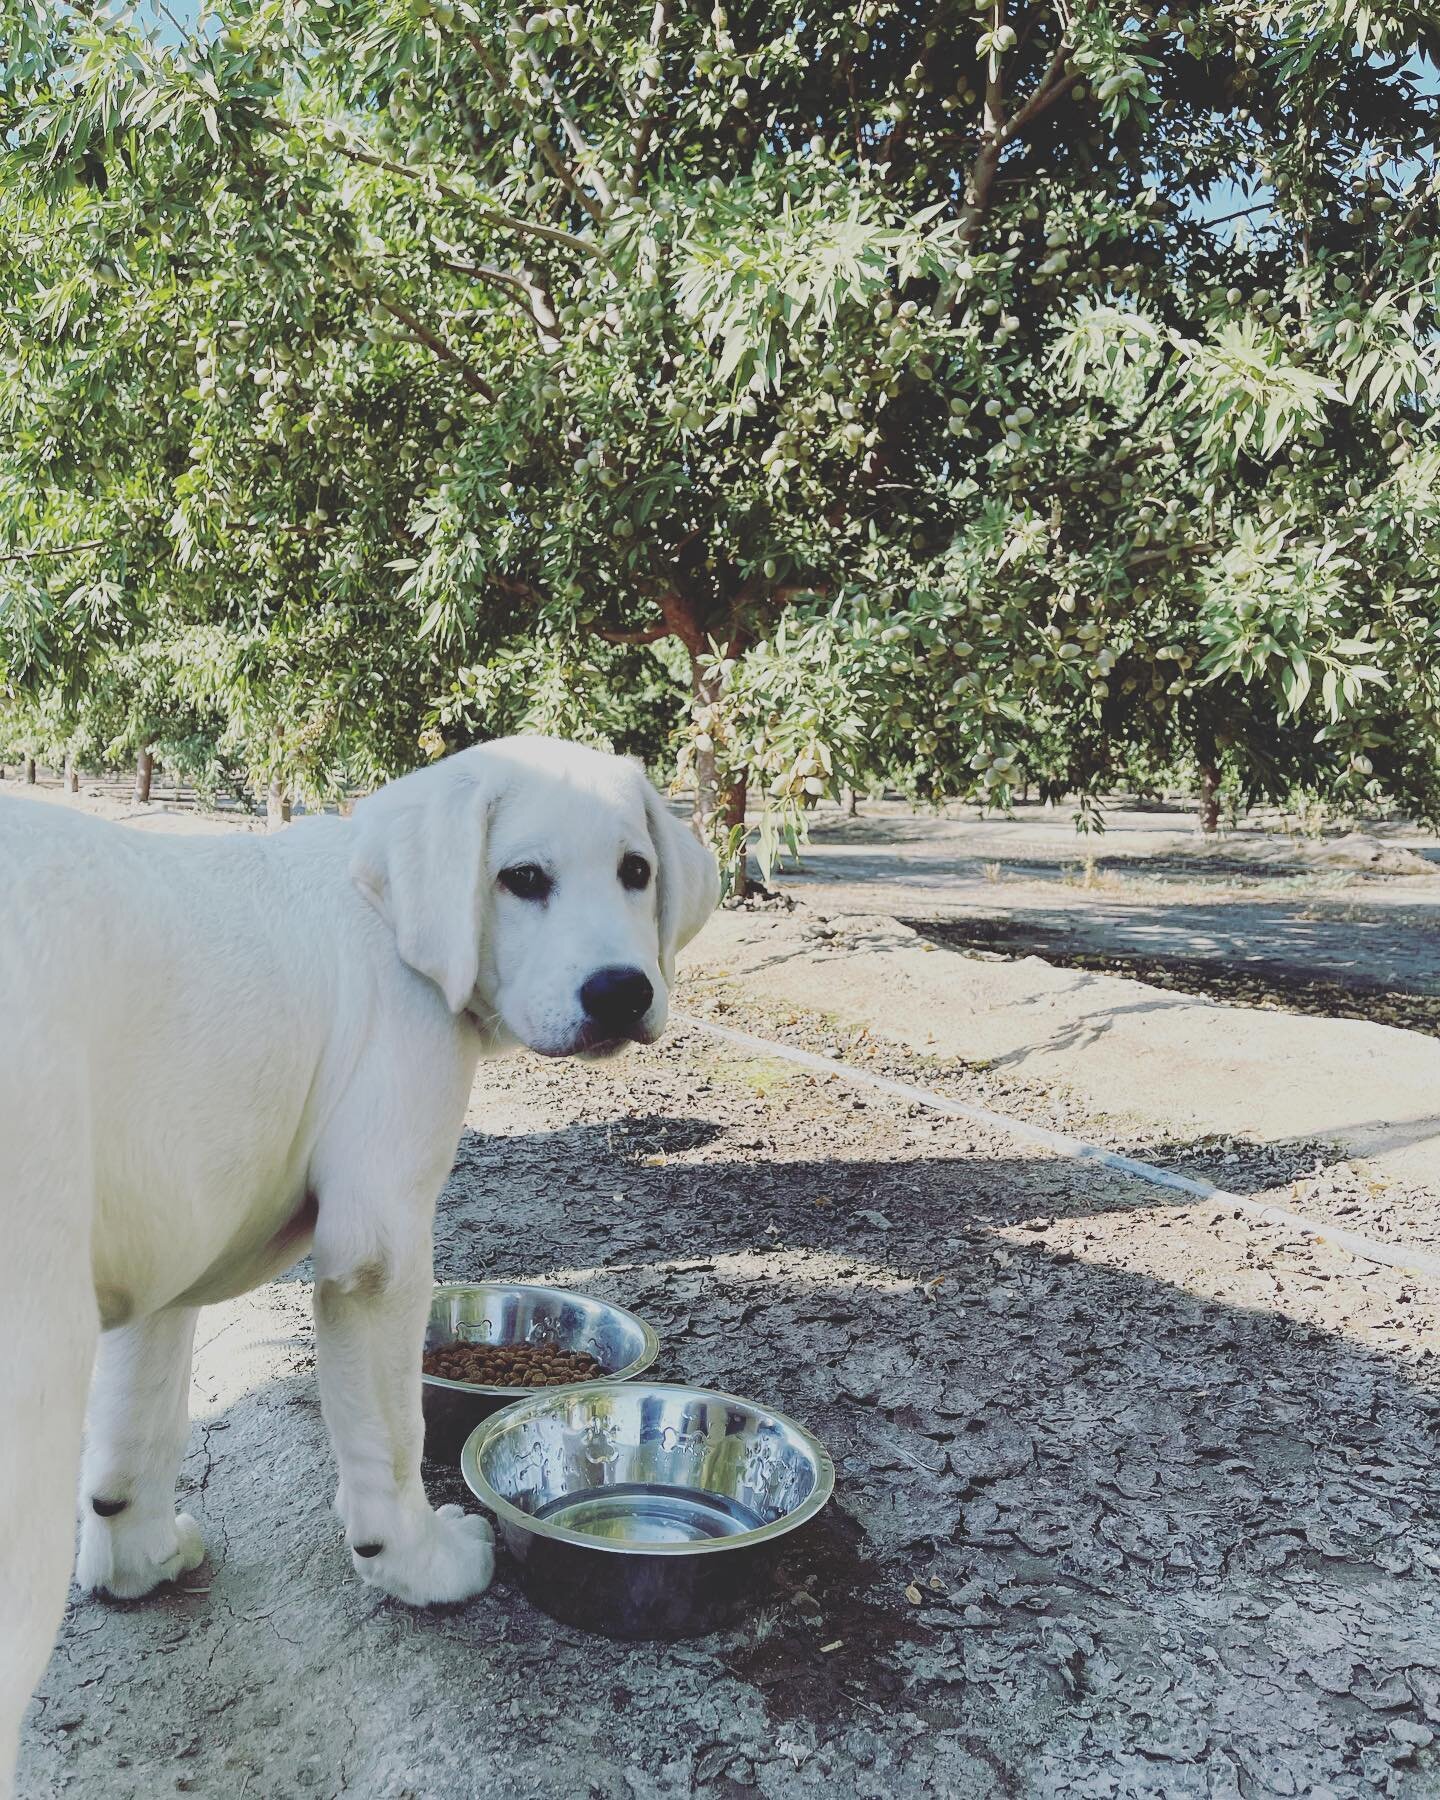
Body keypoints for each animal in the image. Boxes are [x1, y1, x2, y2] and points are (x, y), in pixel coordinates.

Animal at [0, 730, 720, 1785]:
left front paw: (137, 1558)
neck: (390, 920)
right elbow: (393, 1432)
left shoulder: (170, 1247)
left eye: (638, 872)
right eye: (522, 879)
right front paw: (420, 1563)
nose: (623, 992)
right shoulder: (379, 1244)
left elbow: (138, 1429)